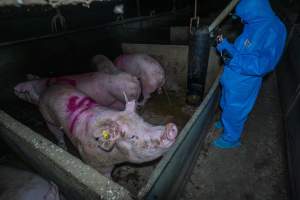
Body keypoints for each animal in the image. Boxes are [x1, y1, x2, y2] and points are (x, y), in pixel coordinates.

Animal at [38, 84, 177, 177]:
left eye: (142, 120)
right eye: (132, 137)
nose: (171, 128)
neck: (116, 157)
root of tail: (50, 87)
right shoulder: (95, 163)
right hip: (48, 119)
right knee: (57, 133)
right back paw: (63, 148)